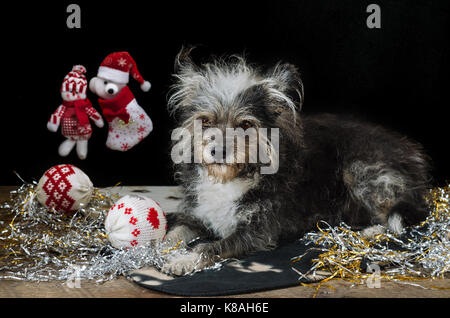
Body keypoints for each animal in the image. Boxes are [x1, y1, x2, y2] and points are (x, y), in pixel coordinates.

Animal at [161, 47, 428, 276]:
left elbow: (210, 246)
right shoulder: (196, 214)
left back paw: (373, 230)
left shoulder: (258, 231)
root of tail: (411, 154)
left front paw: (185, 259)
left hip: (360, 170)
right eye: (205, 121)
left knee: (401, 213)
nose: (218, 151)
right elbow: (171, 234)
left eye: (245, 124)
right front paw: (155, 248)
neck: (233, 177)